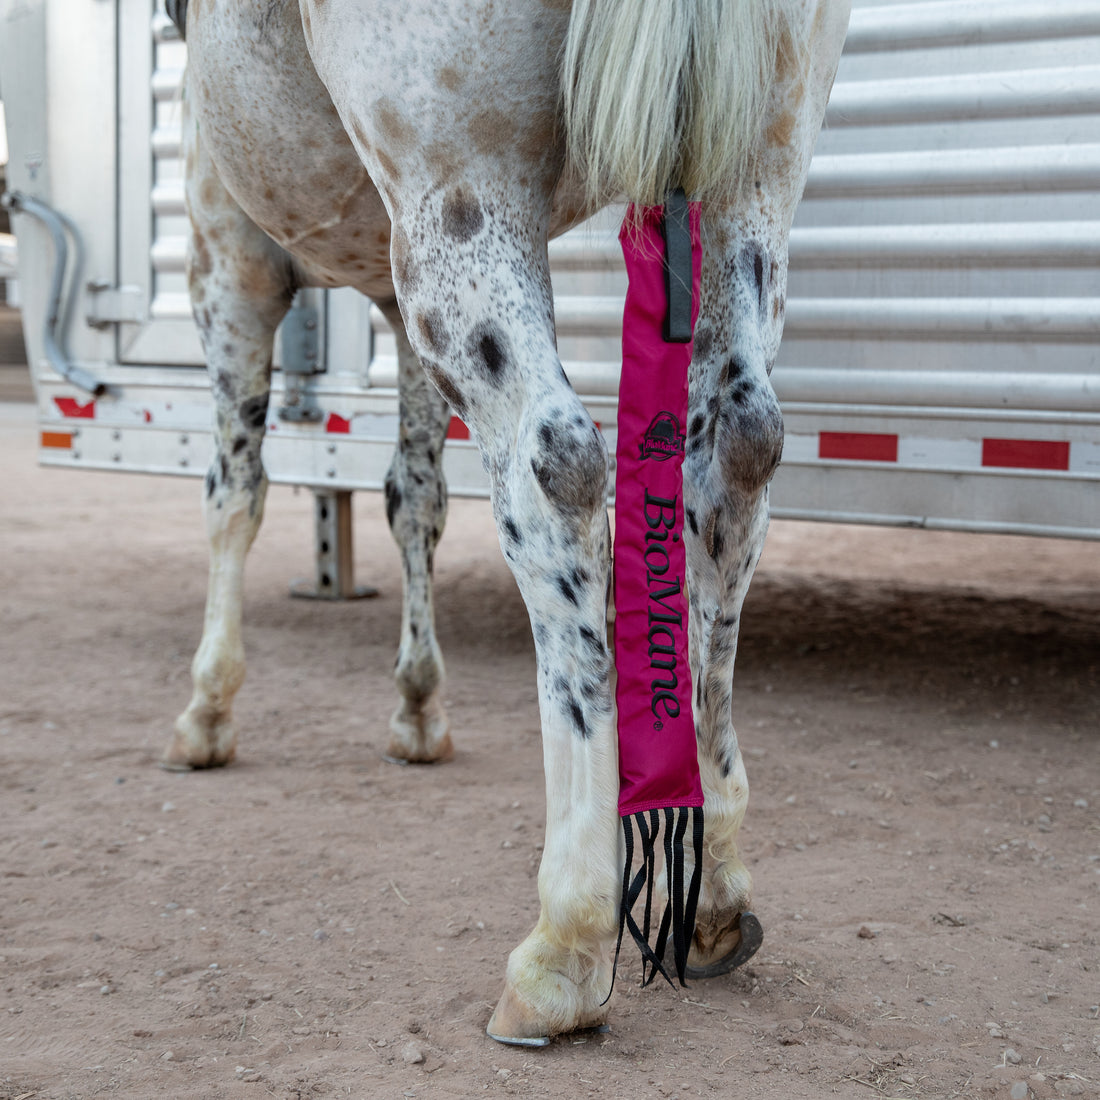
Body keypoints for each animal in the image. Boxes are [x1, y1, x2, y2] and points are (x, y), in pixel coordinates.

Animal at [160, 0, 849, 1047]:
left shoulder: (226, 243)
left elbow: (234, 493)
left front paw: (207, 711)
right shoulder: (384, 287)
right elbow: (413, 495)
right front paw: (417, 705)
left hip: (461, 200)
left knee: (555, 466)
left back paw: (565, 941)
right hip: (753, 173)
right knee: (736, 449)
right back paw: (720, 885)